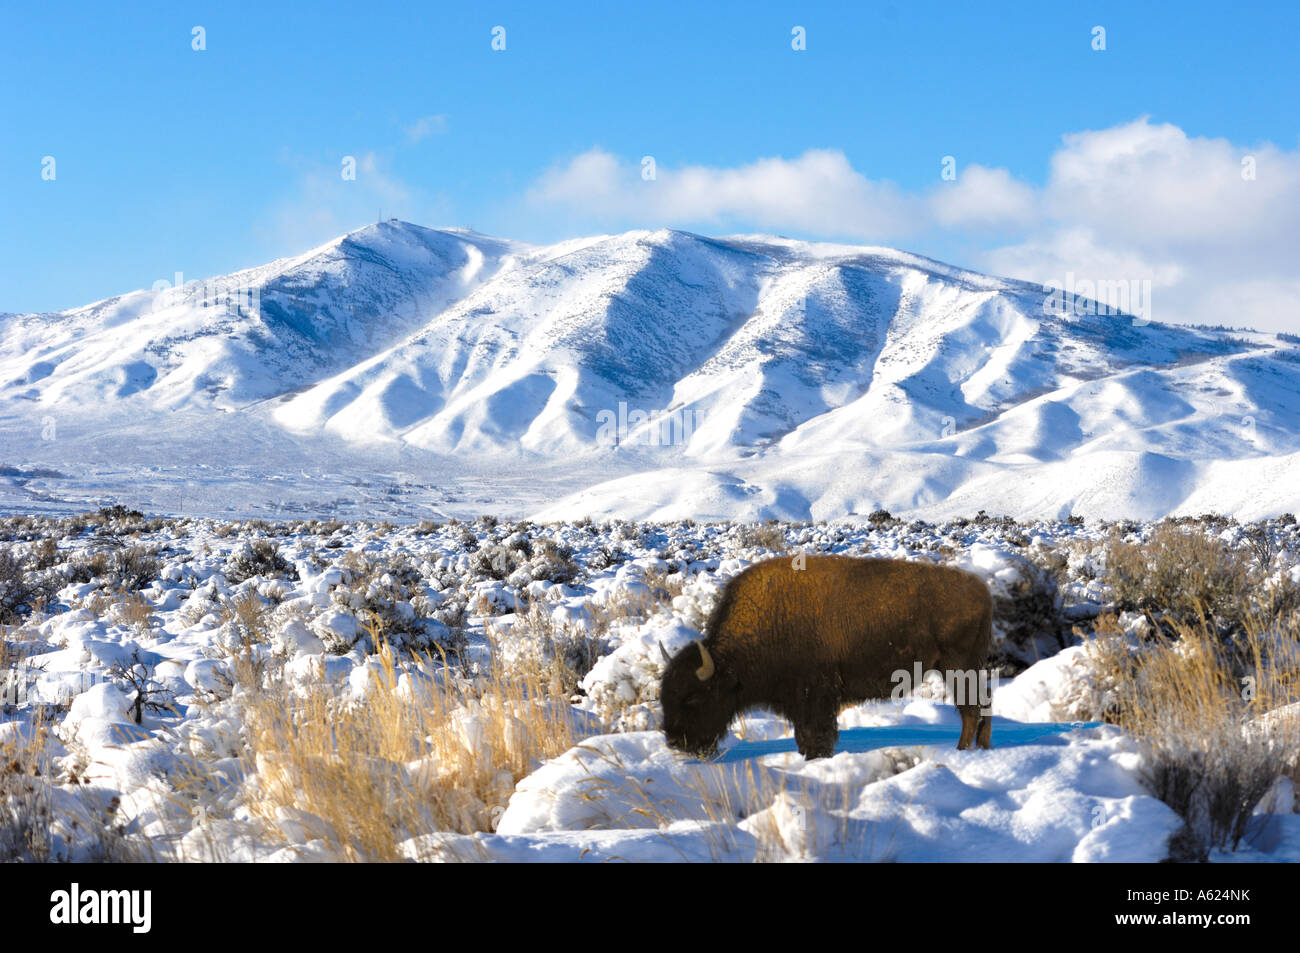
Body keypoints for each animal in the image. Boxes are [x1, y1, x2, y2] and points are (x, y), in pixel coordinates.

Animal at [660, 554, 994, 759]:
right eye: (665, 696)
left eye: (693, 698)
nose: (674, 741)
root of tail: (982, 590)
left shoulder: (815, 697)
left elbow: (815, 735)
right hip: (968, 667)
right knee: (983, 703)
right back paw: (982, 747)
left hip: (956, 666)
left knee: (970, 709)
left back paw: (962, 750)